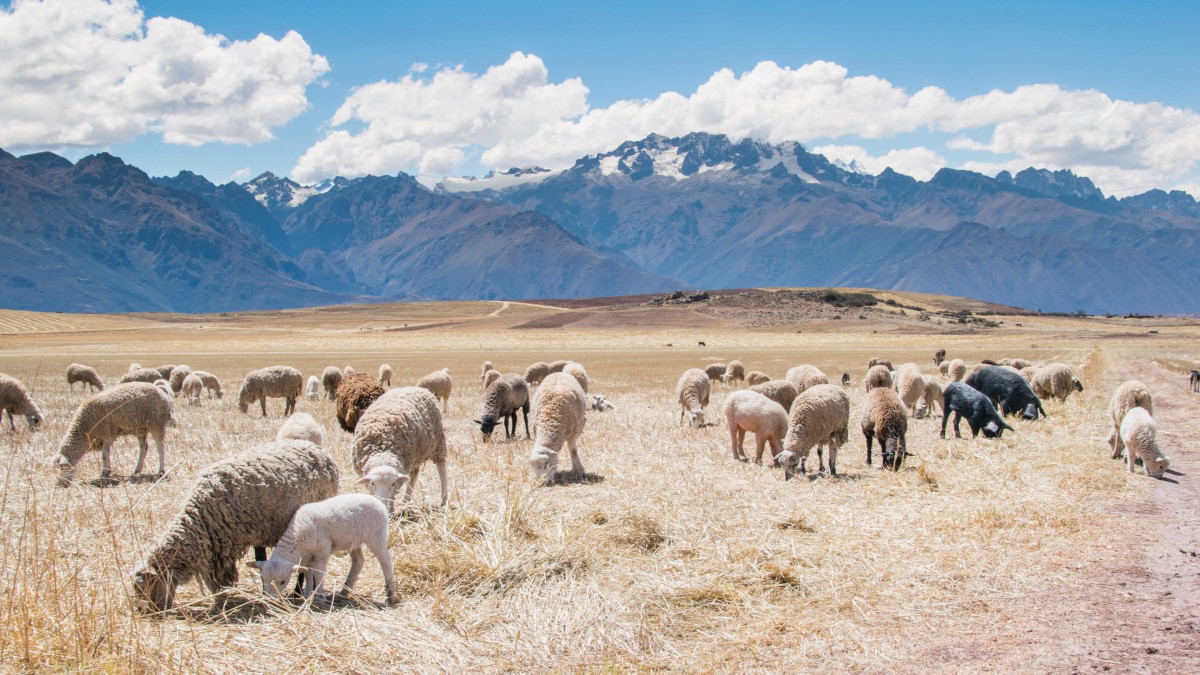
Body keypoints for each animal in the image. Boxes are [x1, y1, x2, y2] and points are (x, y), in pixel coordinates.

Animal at [129, 439, 340, 612]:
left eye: (145, 587)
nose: (145, 612)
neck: (203, 518)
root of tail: (318, 449)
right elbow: (258, 561)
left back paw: (297, 592)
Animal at [248, 487, 398, 605]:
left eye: (282, 582)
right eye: (262, 579)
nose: (270, 600)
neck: (297, 537)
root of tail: (378, 501)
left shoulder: (322, 550)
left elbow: (319, 572)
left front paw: (319, 596)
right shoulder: (308, 556)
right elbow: (308, 574)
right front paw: (308, 594)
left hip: (376, 535)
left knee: (385, 559)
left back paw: (390, 593)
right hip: (353, 540)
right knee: (358, 561)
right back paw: (345, 590)